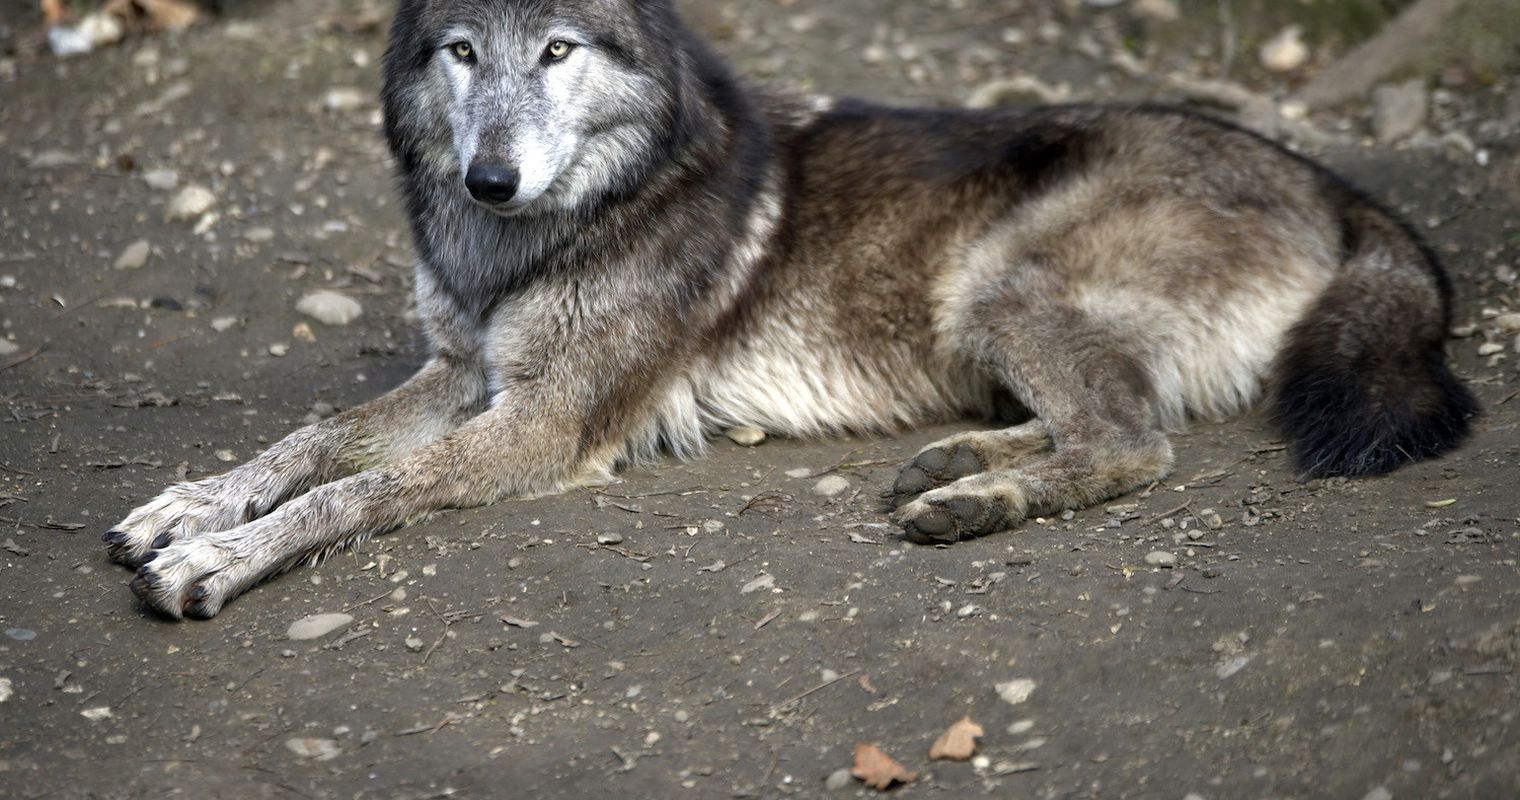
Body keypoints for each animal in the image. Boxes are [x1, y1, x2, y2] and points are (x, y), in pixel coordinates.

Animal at [104, 0, 1471, 620]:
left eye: (556, 49)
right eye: (461, 51)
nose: (492, 175)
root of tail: (1331, 182)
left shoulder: (539, 421)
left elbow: (357, 487)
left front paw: (218, 556)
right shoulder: (460, 369)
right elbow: (313, 441)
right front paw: (193, 503)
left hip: (994, 279)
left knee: (1132, 439)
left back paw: (975, 499)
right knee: (1105, 418)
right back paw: (954, 461)